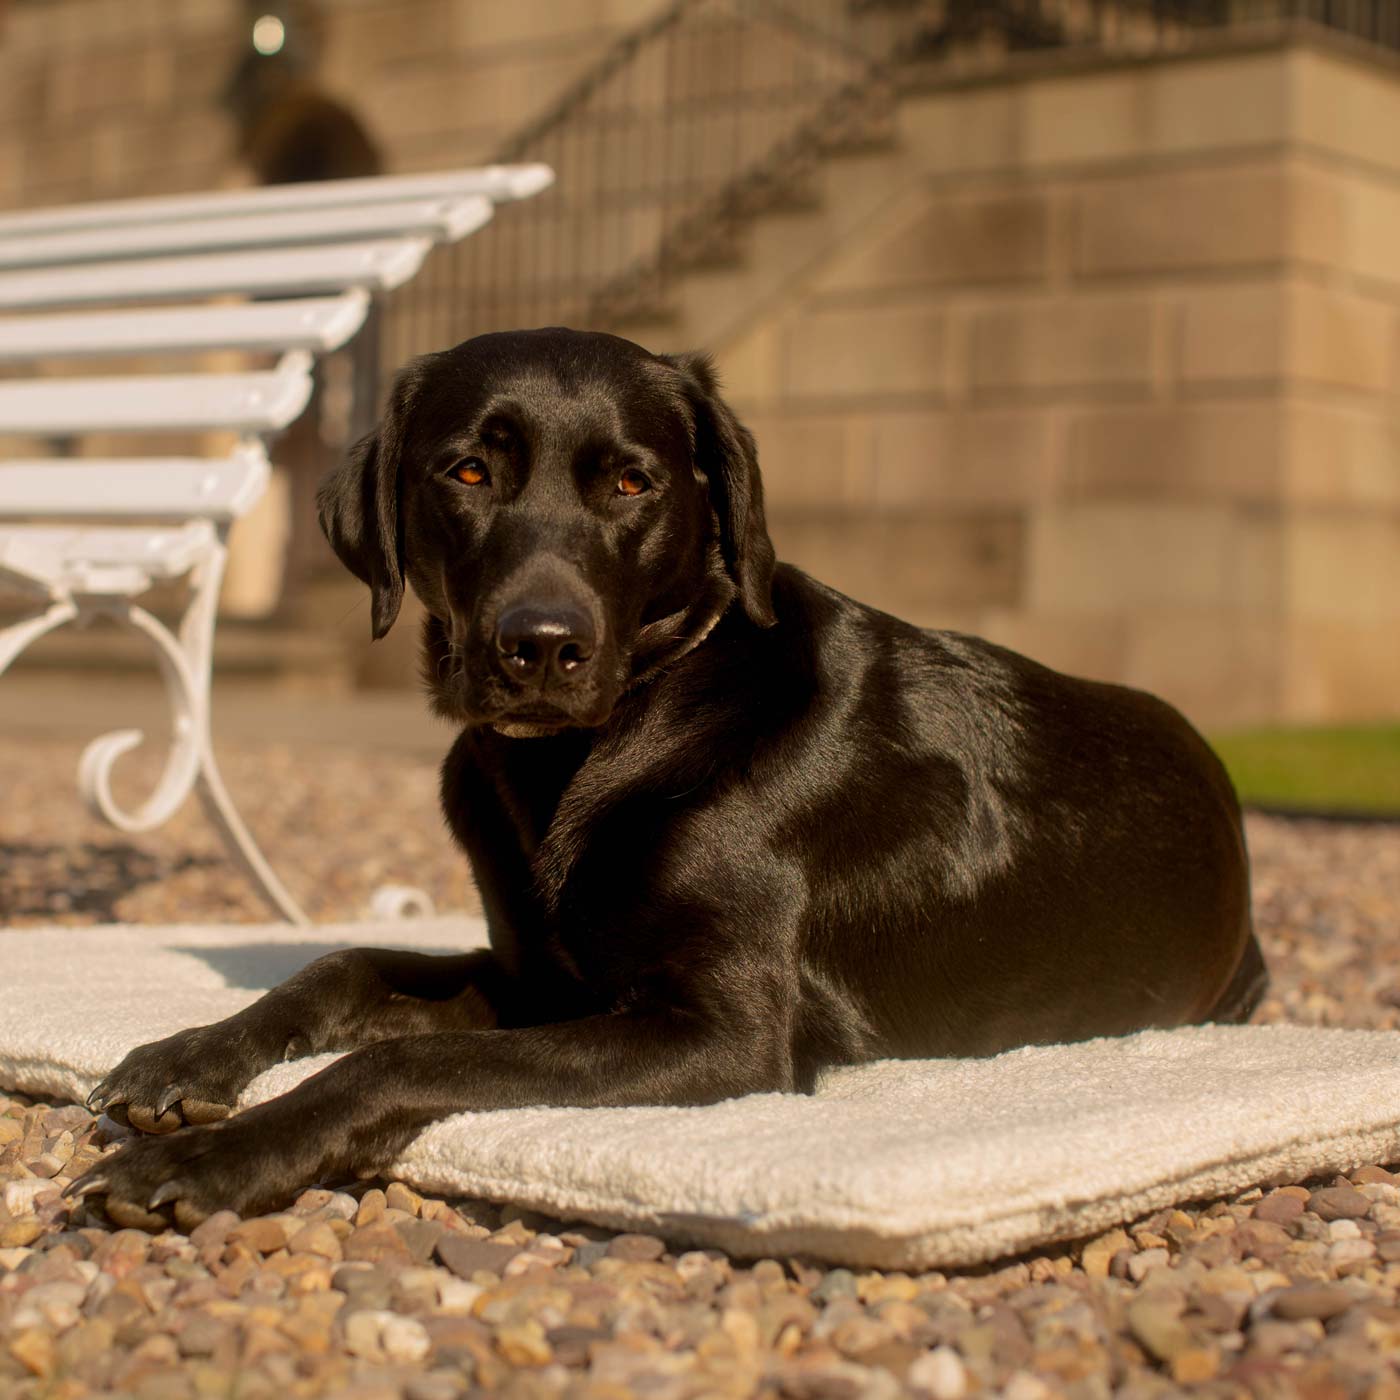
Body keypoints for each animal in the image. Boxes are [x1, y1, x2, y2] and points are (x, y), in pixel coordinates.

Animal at [71, 327, 1265, 1226]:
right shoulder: (542, 974)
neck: (596, 748)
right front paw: (190, 1057)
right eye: (468, 470)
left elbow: (400, 1061)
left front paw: (211, 1160)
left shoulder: (721, 1033)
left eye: (630, 481)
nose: (539, 645)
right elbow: (341, 965)